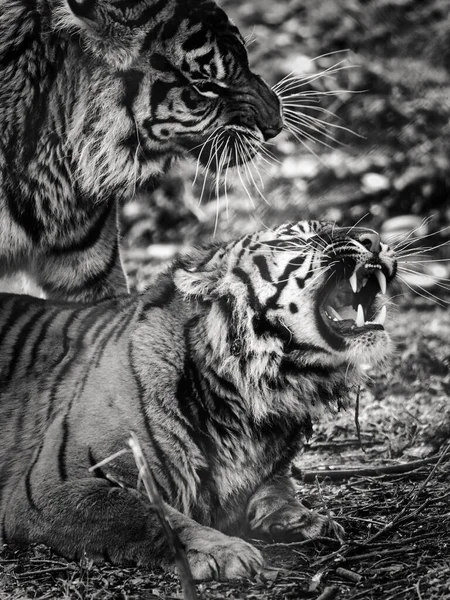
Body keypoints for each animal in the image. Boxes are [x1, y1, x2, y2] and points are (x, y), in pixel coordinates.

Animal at [0, 221, 398, 580]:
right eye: (300, 236)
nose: (375, 239)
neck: (251, 398)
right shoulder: (54, 486)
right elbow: (148, 514)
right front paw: (225, 551)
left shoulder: (271, 466)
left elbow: (279, 488)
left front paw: (307, 520)